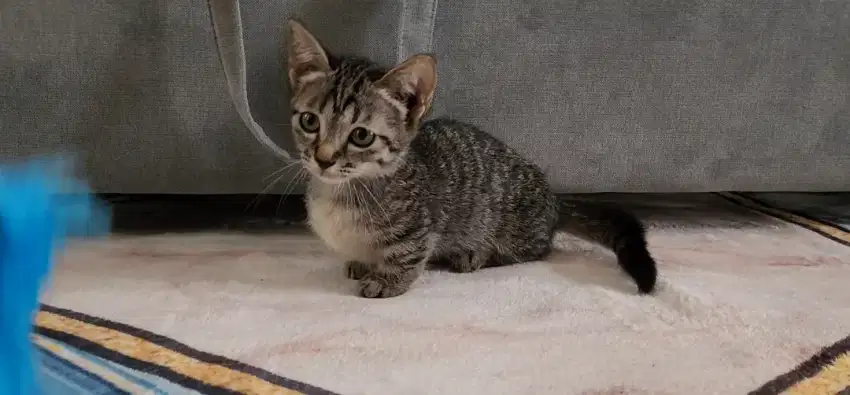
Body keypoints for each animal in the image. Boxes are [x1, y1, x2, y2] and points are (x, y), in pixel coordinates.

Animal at [284, 17, 656, 296]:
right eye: (309, 121)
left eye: (361, 135)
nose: (323, 158)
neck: (344, 191)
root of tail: (555, 200)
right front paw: (363, 264)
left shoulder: (421, 228)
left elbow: (407, 254)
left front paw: (386, 280)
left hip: (514, 231)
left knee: (536, 250)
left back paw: (472, 255)